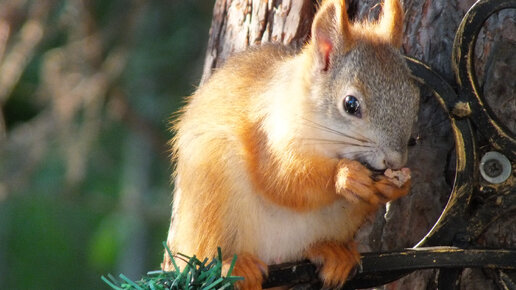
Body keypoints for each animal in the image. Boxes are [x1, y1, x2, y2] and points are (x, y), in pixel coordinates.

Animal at [161, 0, 420, 288]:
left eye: (415, 98)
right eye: (350, 104)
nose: (395, 161)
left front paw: (396, 185)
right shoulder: (266, 132)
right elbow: (282, 179)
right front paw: (345, 176)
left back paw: (332, 251)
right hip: (212, 185)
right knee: (210, 253)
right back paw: (234, 264)